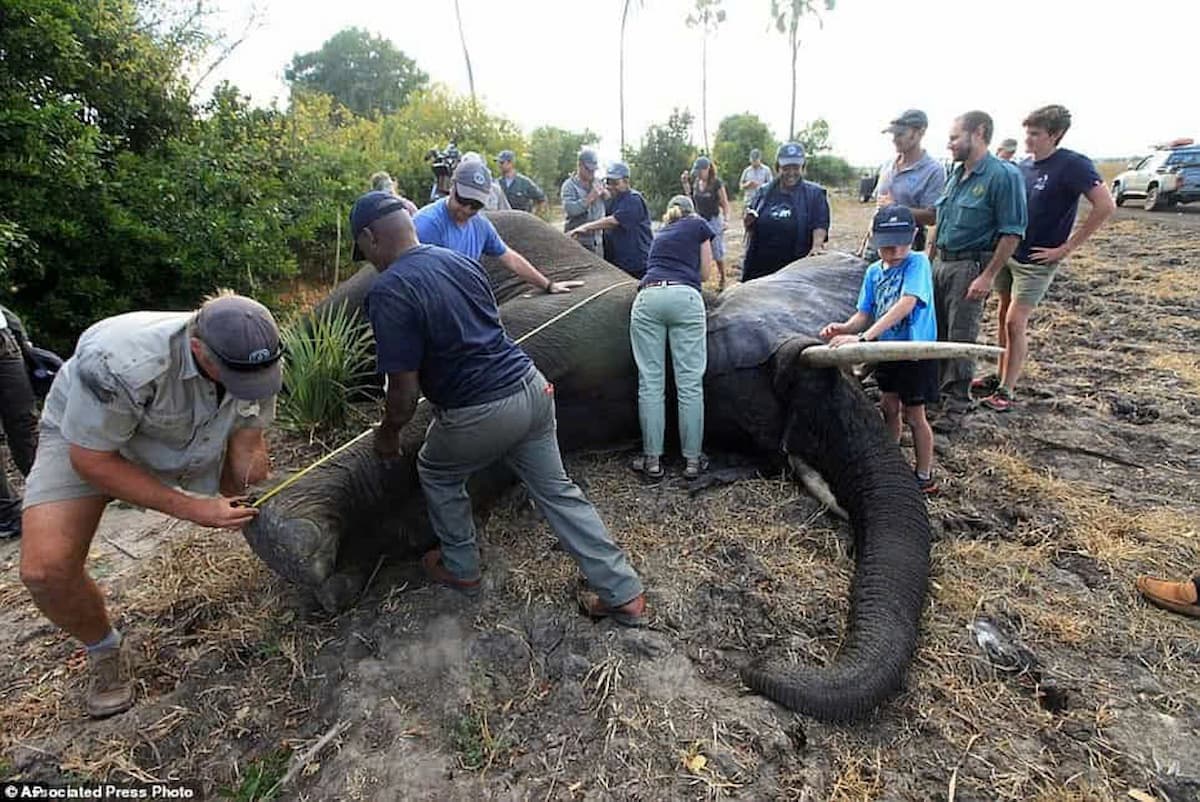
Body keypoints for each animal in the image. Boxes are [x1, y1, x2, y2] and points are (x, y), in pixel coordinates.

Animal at [246, 210, 993, 725]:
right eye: (785, 375)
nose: (757, 668)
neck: (704, 302)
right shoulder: (574, 324)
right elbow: (443, 410)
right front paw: (293, 544)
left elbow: (484, 465)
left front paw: (347, 572)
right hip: (364, 283)